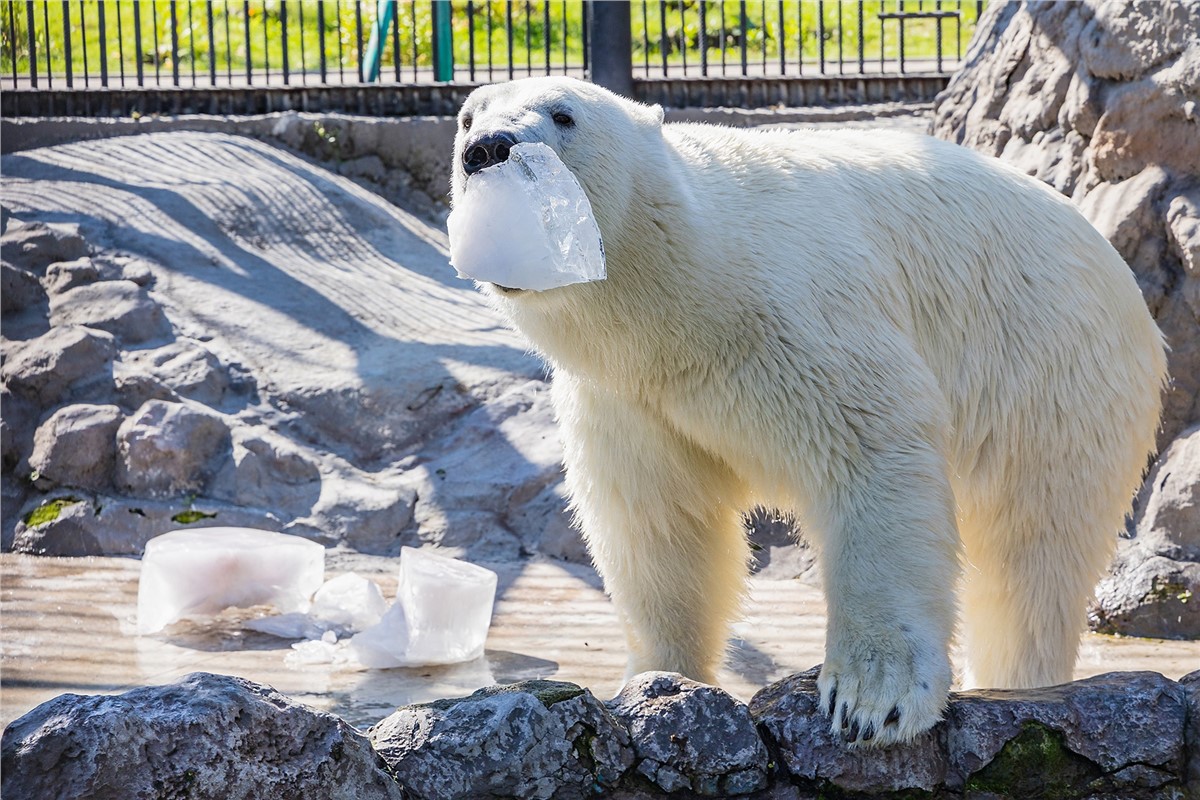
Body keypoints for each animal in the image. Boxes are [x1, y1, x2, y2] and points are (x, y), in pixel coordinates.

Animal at [451, 77, 1161, 748]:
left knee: (1032, 552)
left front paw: (873, 702)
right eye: (467, 115)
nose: (485, 148)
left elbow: (869, 453)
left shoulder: (796, 313)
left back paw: (1022, 680)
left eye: (563, 114)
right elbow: (658, 521)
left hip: (1050, 371)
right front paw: (655, 680)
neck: (683, 297)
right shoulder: (628, 398)